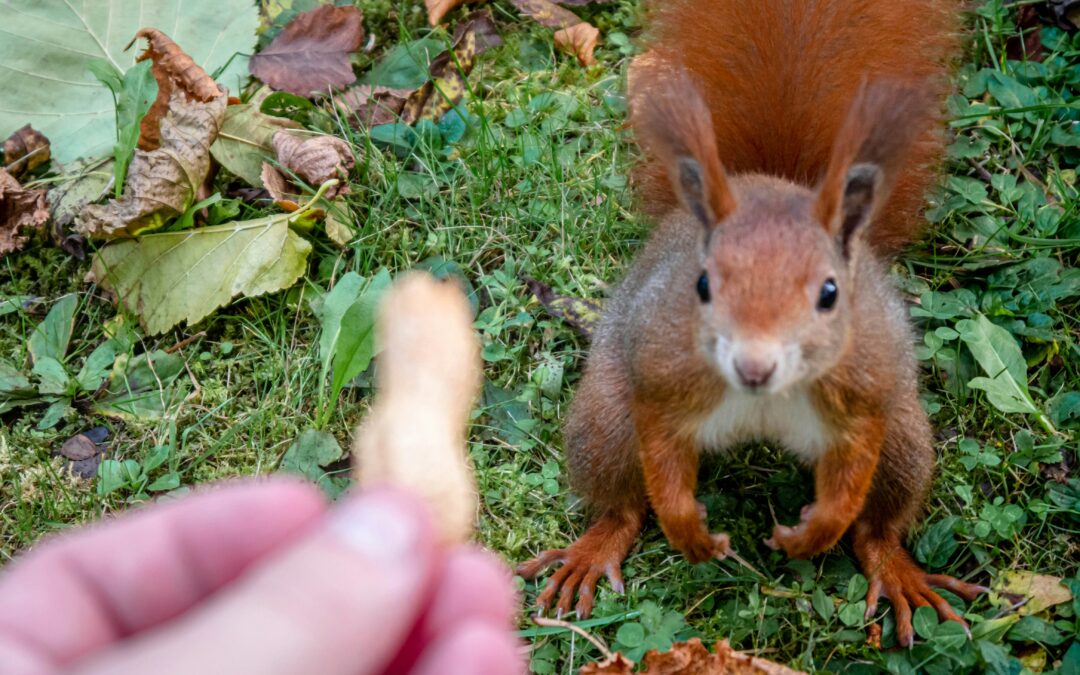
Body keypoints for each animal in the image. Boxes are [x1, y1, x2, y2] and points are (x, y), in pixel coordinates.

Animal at [518, 0, 988, 647]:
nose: (755, 365)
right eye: (703, 284)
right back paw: (595, 548)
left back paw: (894, 569)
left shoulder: (866, 385)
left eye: (830, 292)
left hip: (904, 440)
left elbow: (853, 469)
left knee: (879, 521)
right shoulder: (661, 370)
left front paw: (814, 532)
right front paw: (689, 531)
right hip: (605, 417)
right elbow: (661, 454)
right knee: (620, 501)